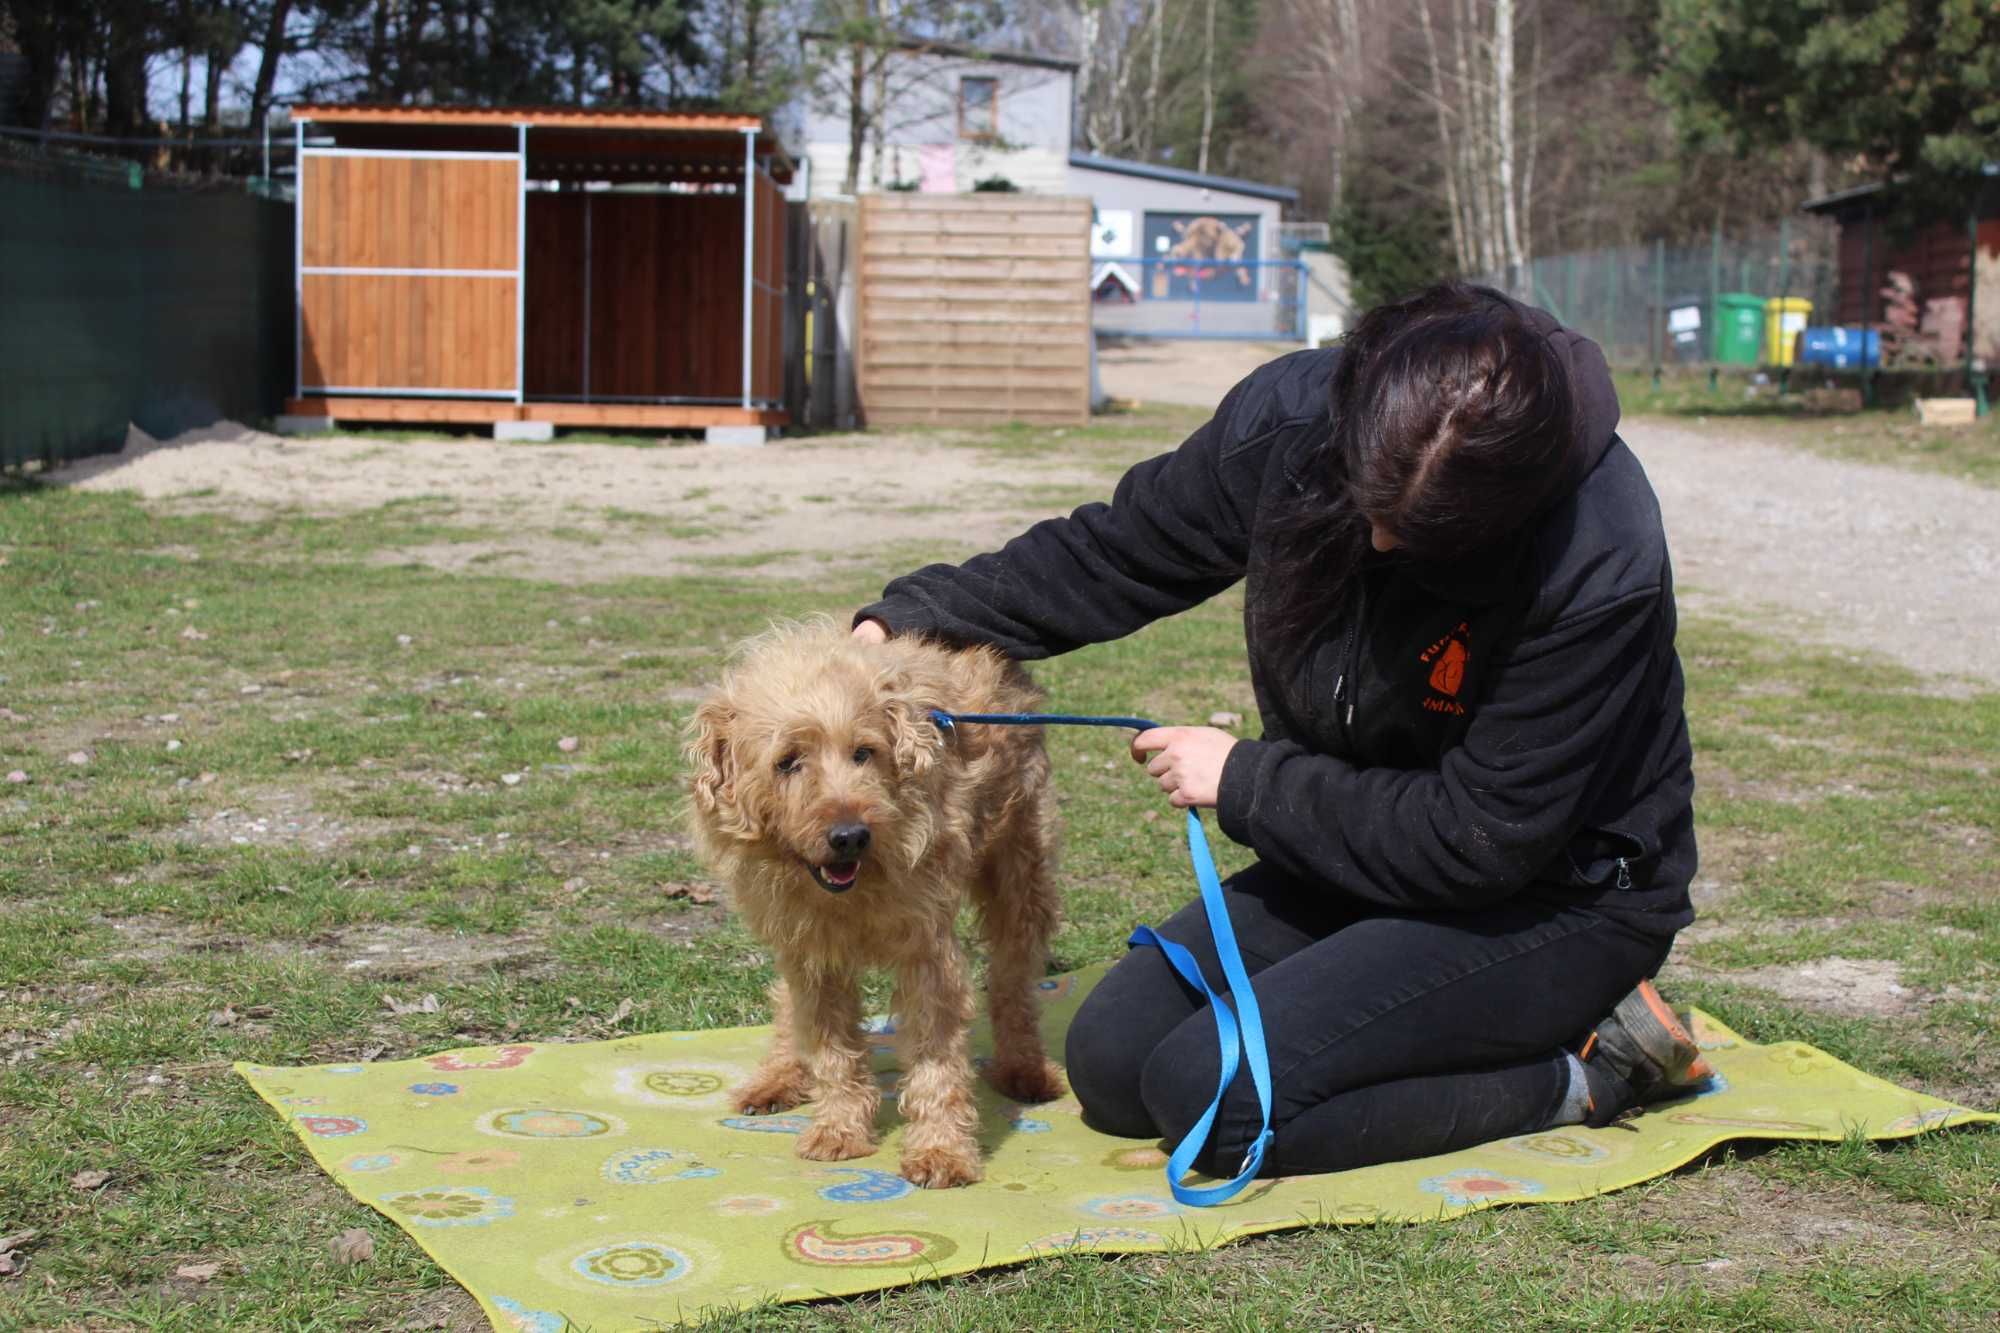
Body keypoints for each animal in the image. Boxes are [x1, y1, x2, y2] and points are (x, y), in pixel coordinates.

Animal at [684, 616, 1072, 1184]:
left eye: (863, 751)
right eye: (787, 762)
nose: (850, 837)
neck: (851, 894)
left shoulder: (928, 952)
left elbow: (936, 1060)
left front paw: (941, 1151)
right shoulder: (810, 952)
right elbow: (831, 1049)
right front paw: (839, 1130)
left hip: (1021, 874)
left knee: (1012, 983)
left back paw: (1024, 1068)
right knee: (787, 1003)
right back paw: (778, 1076)